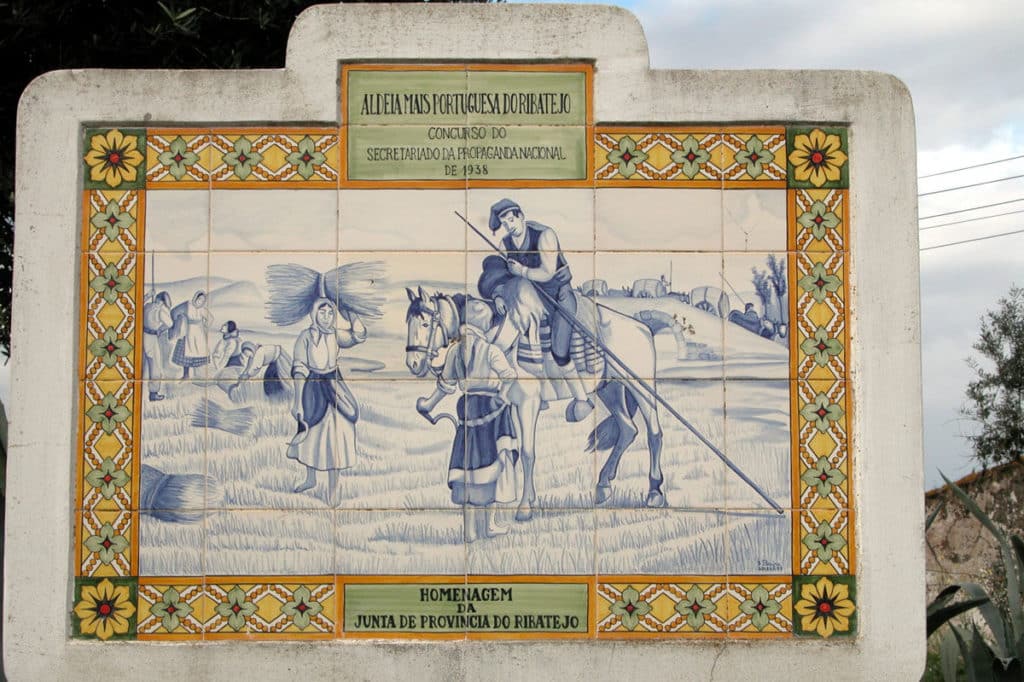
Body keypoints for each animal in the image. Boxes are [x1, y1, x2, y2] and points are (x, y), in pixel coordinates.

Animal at [404, 280, 667, 511]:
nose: (413, 364)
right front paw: (529, 499)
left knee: (654, 433)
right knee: (628, 429)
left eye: (425, 324)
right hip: (609, 389)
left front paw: (524, 507)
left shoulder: (527, 404)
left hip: (640, 388)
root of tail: (644, 328)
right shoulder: (514, 406)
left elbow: (528, 454)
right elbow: (521, 450)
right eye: (408, 322)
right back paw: (603, 485)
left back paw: (654, 492)